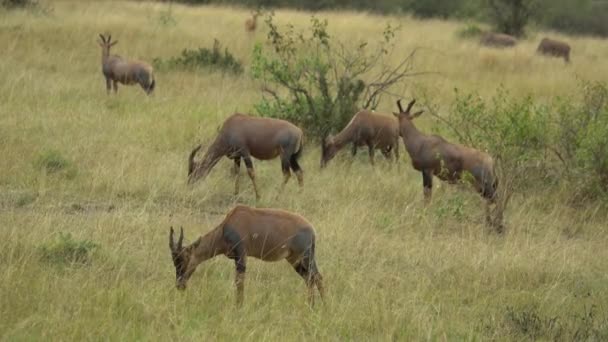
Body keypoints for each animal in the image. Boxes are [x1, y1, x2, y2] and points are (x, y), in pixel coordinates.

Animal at [169, 204, 326, 306]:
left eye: (183, 259)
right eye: (174, 261)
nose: (180, 285)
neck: (228, 225)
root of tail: (312, 229)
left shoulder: (241, 255)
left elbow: (239, 282)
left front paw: (239, 307)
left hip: (306, 257)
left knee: (317, 277)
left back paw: (323, 306)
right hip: (294, 260)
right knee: (309, 278)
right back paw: (311, 305)